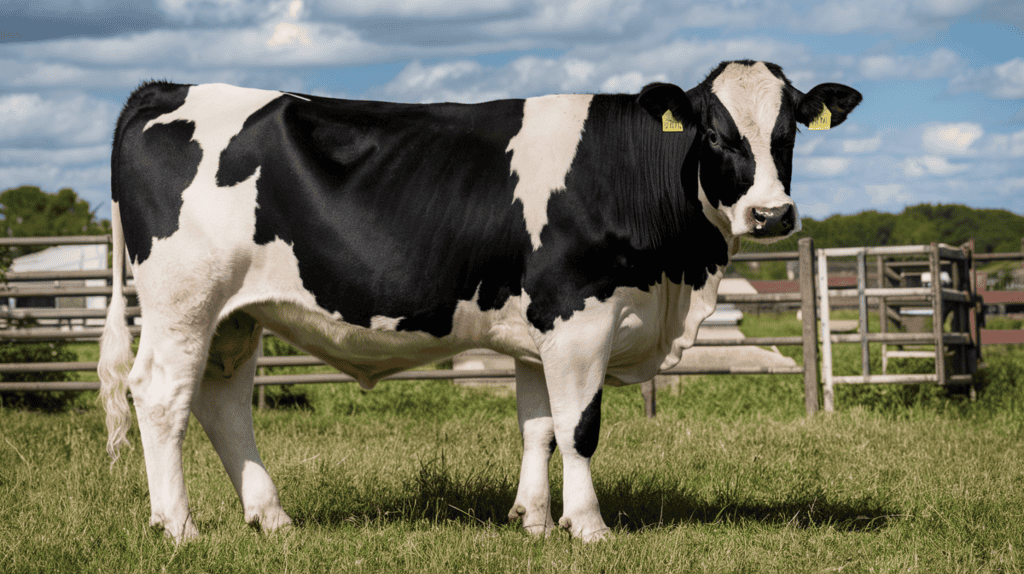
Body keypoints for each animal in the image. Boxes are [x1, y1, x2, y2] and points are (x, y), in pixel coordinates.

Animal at [99, 60, 861, 543]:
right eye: (713, 133)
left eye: (787, 133)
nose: (771, 214)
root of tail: (163, 90)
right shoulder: (579, 317)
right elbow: (579, 429)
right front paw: (589, 528)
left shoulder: (539, 330)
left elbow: (538, 426)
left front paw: (533, 521)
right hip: (184, 303)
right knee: (161, 397)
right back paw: (181, 528)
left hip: (234, 318)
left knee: (221, 404)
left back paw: (271, 518)